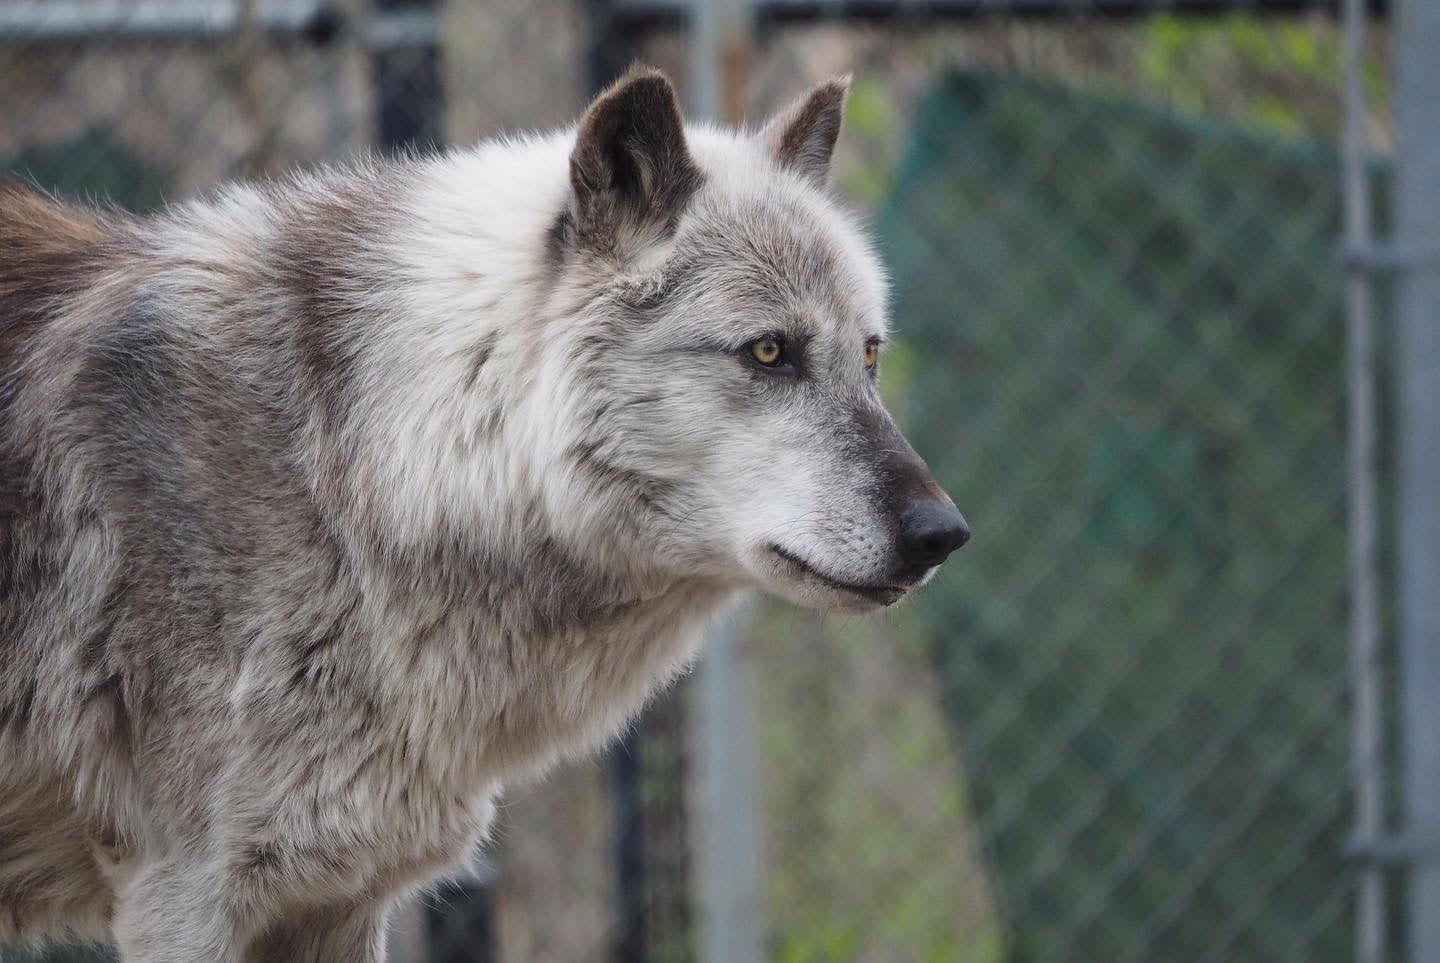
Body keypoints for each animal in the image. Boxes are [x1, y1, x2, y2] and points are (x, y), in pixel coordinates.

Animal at [0, 67, 968, 960]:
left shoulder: (330, 901)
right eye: (769, 352)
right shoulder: (185, 893)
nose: (943, 533)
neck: (355, 464)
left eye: (870, 356)